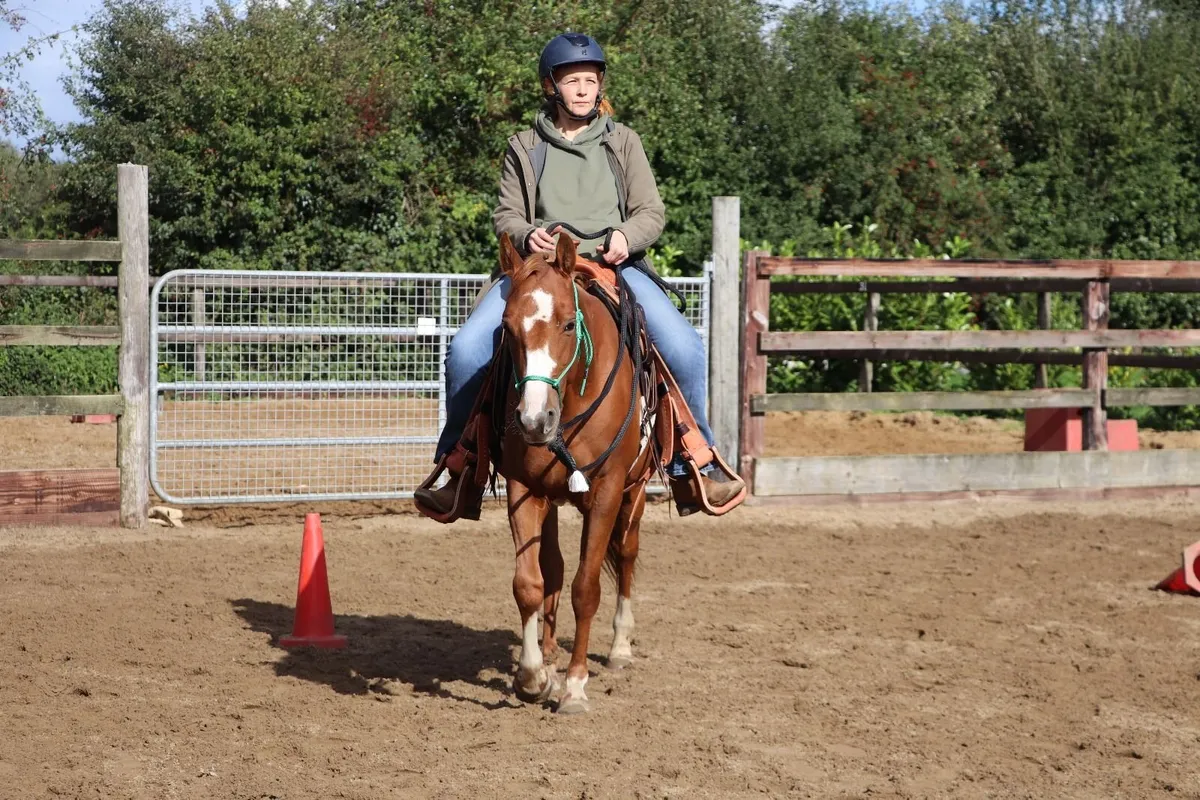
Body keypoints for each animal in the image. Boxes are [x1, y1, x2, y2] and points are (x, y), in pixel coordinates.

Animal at [494, 230, 656, 715]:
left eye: (569, 324)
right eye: (508, 328)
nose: (534, 421)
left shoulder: (606, 492)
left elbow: (587, 589)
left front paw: (575, 686)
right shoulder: (523, 488)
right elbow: (529, 583)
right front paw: (533, 677)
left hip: (635, 491)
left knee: (626, 555)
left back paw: (620, 647)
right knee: (553, 566)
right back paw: (548, 652)